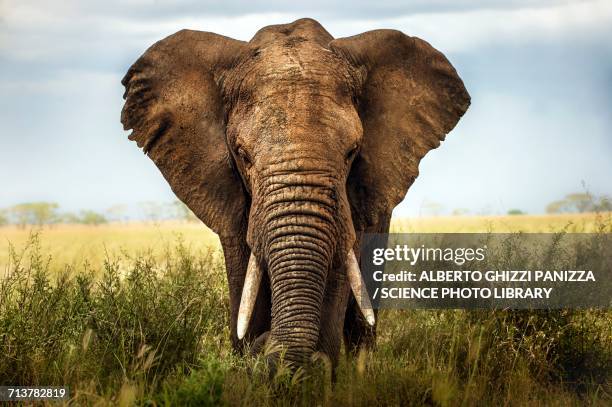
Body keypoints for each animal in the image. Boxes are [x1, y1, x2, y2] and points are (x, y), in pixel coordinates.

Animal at [122, 18, 470, 370]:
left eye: (352, 152)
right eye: (242, 155)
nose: (266, 346)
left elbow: (339, 269)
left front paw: (313, 371)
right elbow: (245, 277)